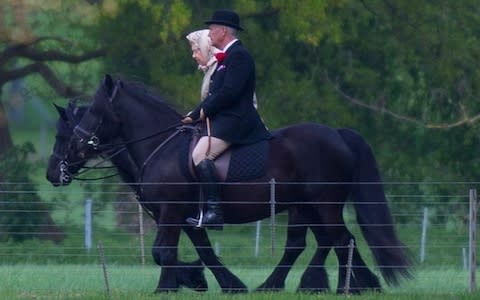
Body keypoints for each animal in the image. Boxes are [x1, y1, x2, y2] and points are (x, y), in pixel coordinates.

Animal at [47, 74, 410, 292]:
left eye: (95, 113)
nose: (53, 173)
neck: (159, 146)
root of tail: (337, 134)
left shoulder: (170, 211)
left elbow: (163, 251)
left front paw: (169, 287)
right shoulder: (184, 217)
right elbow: (201, 251)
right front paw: (217, 282)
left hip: (324, 204)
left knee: (340, 239)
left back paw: (355, 285)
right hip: (306, 205)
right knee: (320, 242)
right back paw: (295, 284)